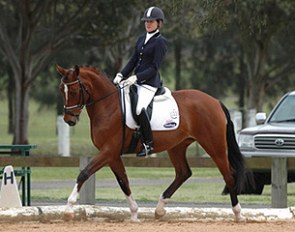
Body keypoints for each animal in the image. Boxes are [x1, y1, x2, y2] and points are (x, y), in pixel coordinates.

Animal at [56, 64, 254, 222]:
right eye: (61, 90)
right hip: (177, 146)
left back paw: (238, 214)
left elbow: (84, 173)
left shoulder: (108, 151)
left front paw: (68, 209)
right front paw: (134, 214)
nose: (69, 120)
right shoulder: (112, 155)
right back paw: (159, 210)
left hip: (214, 145)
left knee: (228, 175)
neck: (108, 106)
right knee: (183, 173)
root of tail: (215, 101)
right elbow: (123, 181)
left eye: (73, 92)